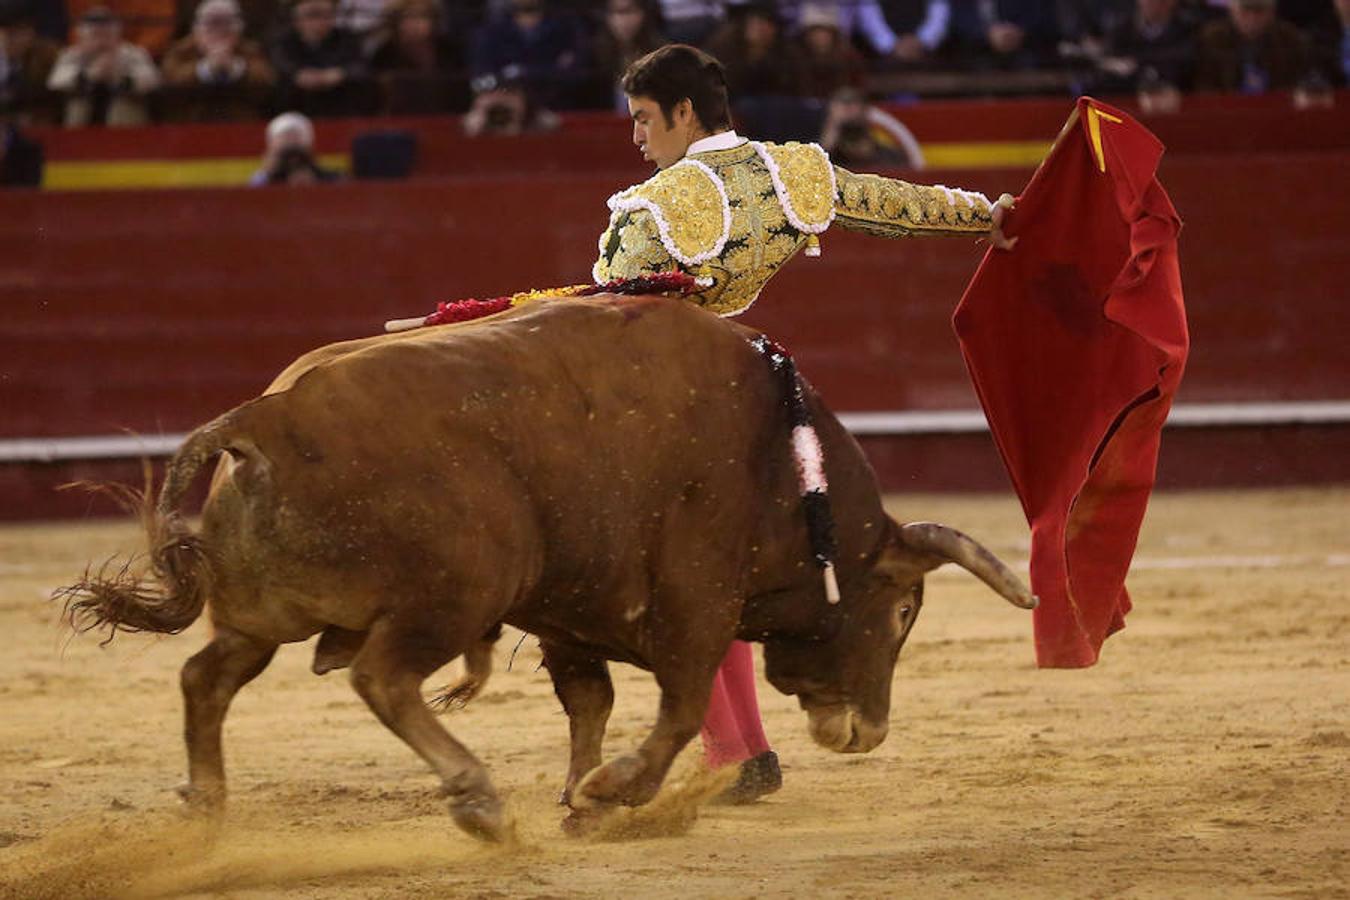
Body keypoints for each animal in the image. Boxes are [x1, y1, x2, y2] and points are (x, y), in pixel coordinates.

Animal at [60, 295, 1031, 847]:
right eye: (902, 612)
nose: (868, 731)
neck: (786, 470)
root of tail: (264, 413)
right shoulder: (695, 600)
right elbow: (678, 709)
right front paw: (611, 793)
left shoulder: (571, 611)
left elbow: (588, 700)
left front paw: (580, 796)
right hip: (455, 593)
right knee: (381, 678)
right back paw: (478, 802)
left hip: (266, 613)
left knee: (206, 676)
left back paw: (208, 806)